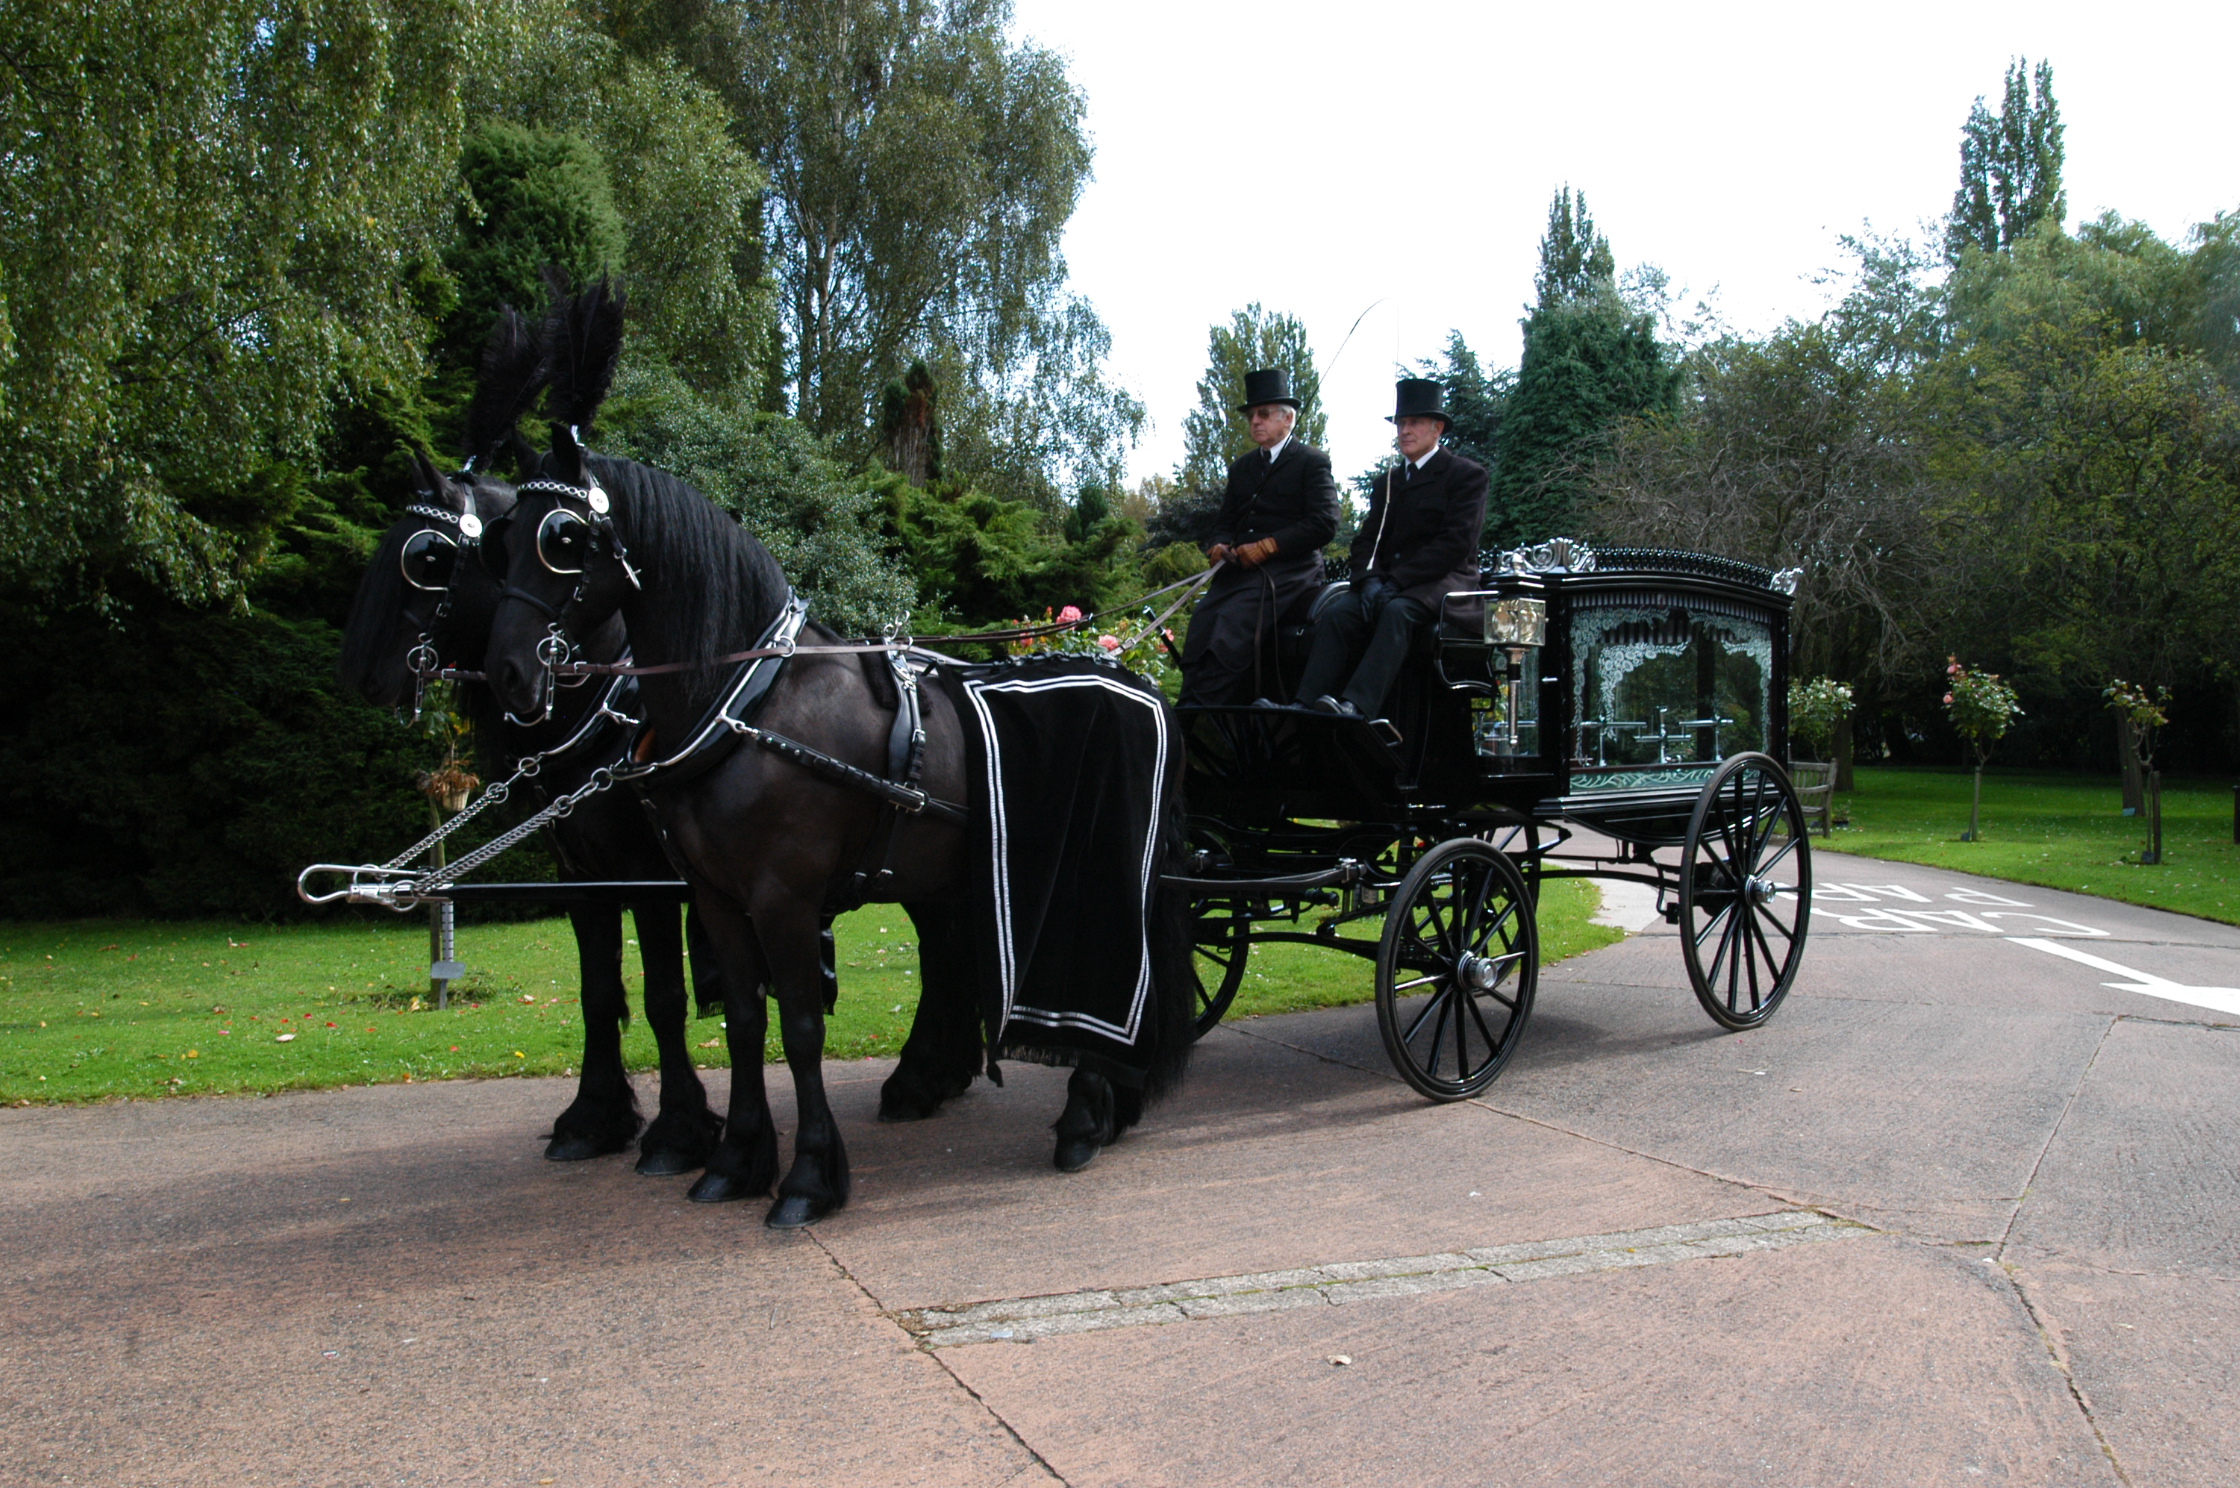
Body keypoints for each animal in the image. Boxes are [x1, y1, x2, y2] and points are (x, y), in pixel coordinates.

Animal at [333, 311, 716, 1174]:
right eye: (500, 549)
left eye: (427, 556)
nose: (359, 674)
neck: (614, 708)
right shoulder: (584, 875)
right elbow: (599, 992)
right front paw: (593, 1117)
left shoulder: (647, 874)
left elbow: (665, 997)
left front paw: (678, 1130)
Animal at [483, 284, 1200, 1228]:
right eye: (499, 538)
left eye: (562, 538)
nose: (509, 672)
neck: (748, 704)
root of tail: (1138, 676)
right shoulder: (714, 896)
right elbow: (745, 1021)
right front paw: (736, 1158)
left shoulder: (782, 897)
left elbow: (799, 1028)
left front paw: (810, 1176)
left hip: (1100, 885)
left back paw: (1085, 1112)